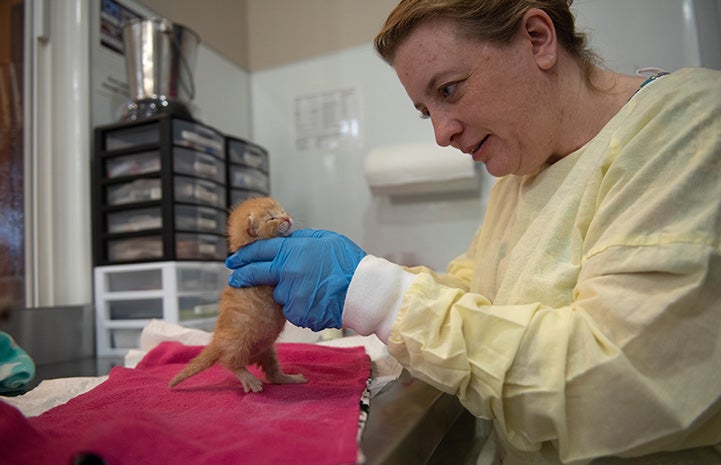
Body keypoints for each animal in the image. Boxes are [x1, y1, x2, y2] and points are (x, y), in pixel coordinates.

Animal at [171, 196, 306, 392]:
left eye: (282, 211)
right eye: (271, 218)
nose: (287, 218)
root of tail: (216, 342)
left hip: (267, 349)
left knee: (272, 374)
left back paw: (289, 378)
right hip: (239, 341)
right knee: (230, 361)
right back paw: (249, 379)